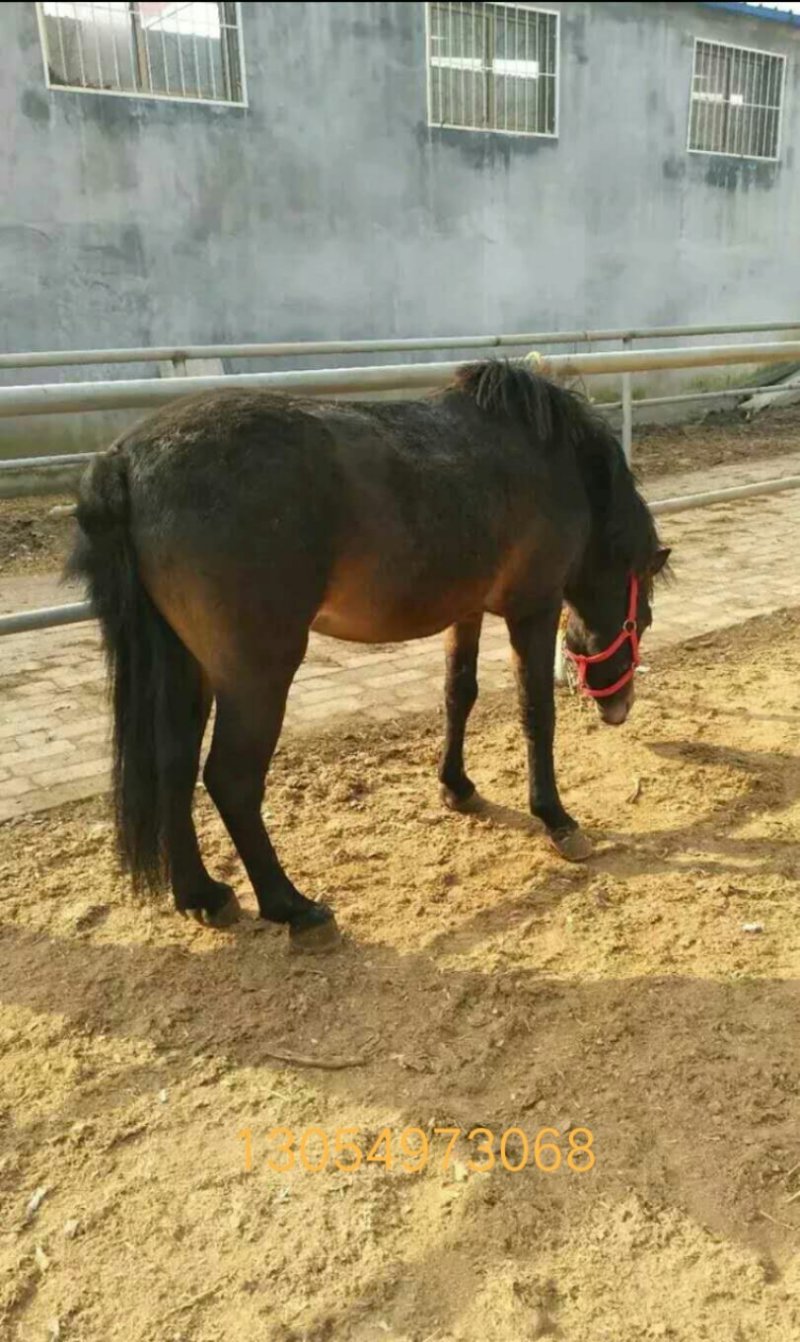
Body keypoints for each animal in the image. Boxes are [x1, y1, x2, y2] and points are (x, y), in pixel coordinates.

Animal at [68, 360, 669, 952]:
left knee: (173, 763)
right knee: (231, 779)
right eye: (640, 621)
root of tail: (124, 461)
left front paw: (457, 787)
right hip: (256, 675)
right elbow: (535, 713)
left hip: (186, 666)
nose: (619, 709)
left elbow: (459, 693)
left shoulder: (466, 609)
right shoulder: (534, 609)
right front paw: (556, 818)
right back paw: (296, 909)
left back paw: (202, 896)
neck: (556, 463)